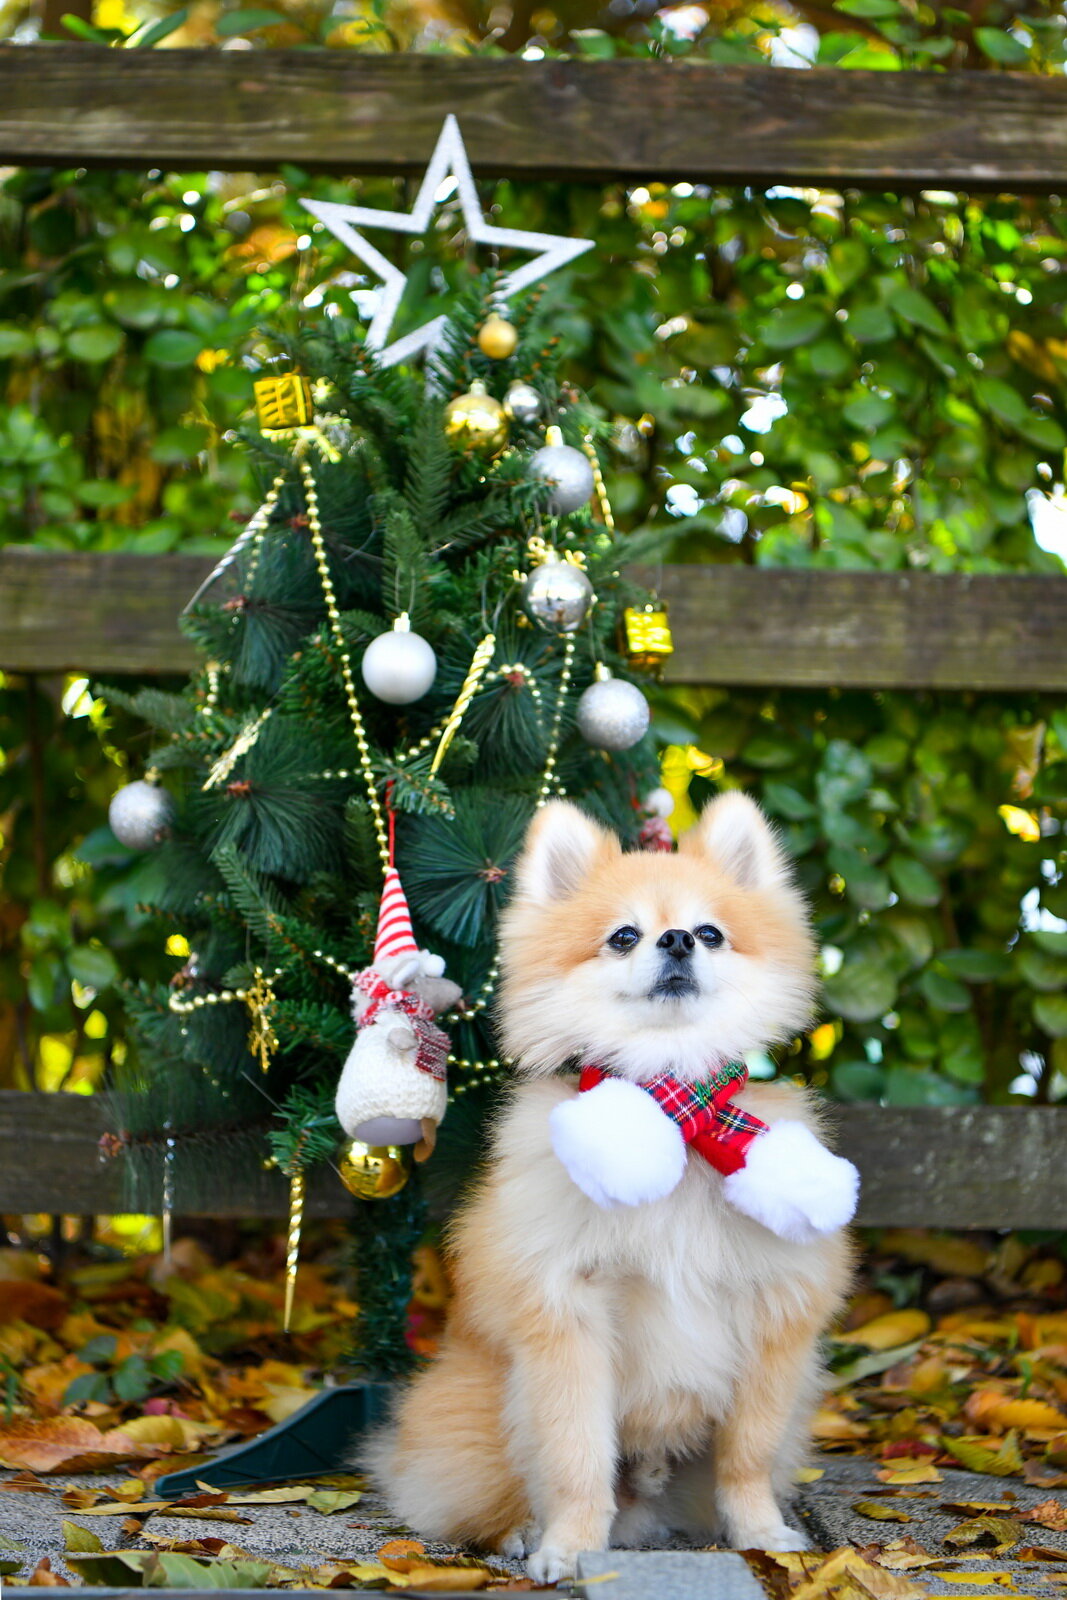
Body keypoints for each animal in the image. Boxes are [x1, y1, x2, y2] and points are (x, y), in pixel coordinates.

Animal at [371, 793, 857, 1580]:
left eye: (710, 933)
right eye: (624, 937)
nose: (677, 941)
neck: (676, 1115)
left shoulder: (772, 1319)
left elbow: (746, 1456)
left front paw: (760, 1532)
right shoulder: (568, 1315)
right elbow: (574, 1451)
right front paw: (570, 1546)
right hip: (481, 1414)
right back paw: (519, 1531)